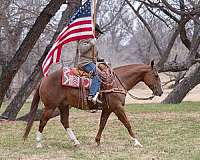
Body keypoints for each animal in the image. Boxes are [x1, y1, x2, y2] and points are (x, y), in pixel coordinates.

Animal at [23, 60, 162, 148]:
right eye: (156, 75)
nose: (160, 92)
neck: (117, 81)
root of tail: (44, 79)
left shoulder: (108, 109)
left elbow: (102, 124)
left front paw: (97, 141)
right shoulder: (117, 108)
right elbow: (127, 124)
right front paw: (137, 142)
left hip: (64, 106)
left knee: (64, 122)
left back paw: (76, 142)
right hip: (50, 107)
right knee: (43, 121)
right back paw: (38, 143)